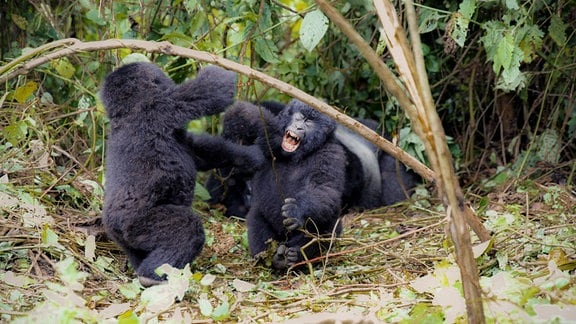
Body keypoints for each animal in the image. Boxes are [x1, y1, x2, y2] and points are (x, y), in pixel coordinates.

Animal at [102, 62, 264, 286]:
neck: (128, 110)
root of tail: (111, 223)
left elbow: (203, 153)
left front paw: (250, 158)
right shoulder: (166, 103)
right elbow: (213, 89)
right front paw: (224, 67)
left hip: (123, 237)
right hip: (135, 223)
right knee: (187, 229)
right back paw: (154, 275)